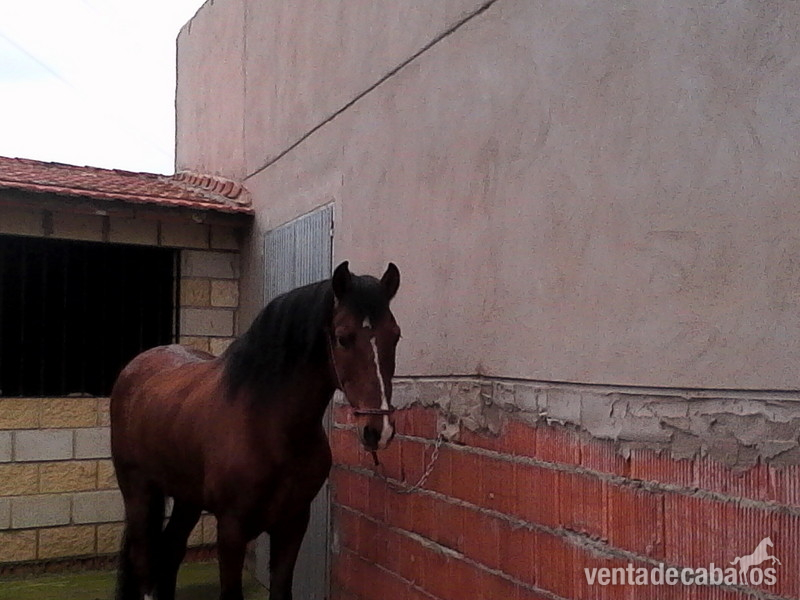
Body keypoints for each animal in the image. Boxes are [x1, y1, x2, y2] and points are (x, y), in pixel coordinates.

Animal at [110, 261, 401, 600]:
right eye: (343, 337)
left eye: (395, 335)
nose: (378, 430)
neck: (268, 424)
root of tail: (135, 368)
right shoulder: (232, 529)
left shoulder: (293, 523)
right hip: (138, 492)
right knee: (144, 561)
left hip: (187, 498)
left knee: (171, 550)